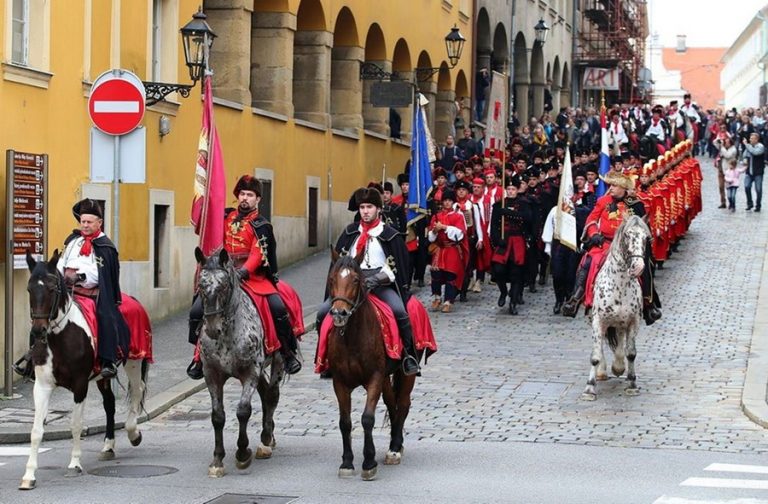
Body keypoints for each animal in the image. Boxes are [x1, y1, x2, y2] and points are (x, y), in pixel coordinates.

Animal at [20, 250, 150, 490]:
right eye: (29, 289)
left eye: (51, 288)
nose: (38, 330)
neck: (60, 336)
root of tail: (133, 300)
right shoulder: (42, 386)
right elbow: (36, 431)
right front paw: (29, 475)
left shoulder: (80, 385)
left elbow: (76, 425)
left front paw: (74, 464)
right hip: (102, 376)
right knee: (109, 403)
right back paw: (108, 446)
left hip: (134, 361)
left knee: (137, 390)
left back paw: (133, 433)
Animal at [194, 247, 283, 478]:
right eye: (201, 286)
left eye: (224, 286)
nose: (212, 329)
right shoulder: (211, 374)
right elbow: (217, 416)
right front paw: (217, 460)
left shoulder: (250, 371)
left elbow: (243, 411)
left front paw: (242, 453)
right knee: (265, 393)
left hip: (277, 360)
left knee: (272, 395)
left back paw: (266, 440)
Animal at [326, 254, 419, 481]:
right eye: (332, 279)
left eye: (356, 280)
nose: (339, 313)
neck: (351, 337)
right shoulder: (339, 382)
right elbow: (345, 422)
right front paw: (347, 462)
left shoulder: (374, 378)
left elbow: (367, 418)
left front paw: (369, 462)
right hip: (386, 377)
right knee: (392, 403)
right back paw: (395, 443)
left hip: (406, 373)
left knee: (403, 403)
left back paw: (394, 448)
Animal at [582, 216, 650, 401]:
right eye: (627, 236)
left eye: (646, 238)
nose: (638, 267)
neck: (619, 285)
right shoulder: (598, 320)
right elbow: (595, 355)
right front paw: (589, 388)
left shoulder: (634, 321)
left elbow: (631, 353)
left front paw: (632, 384)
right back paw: (602, 371)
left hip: (620, 323)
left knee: (620, 344)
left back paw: (619, 366)